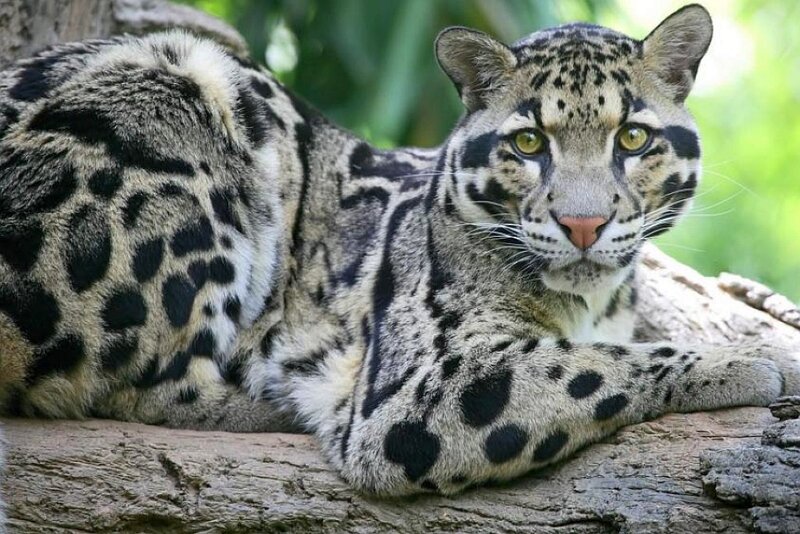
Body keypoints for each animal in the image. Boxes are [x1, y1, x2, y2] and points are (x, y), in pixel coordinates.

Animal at [0, 3, 798, 500]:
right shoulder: (417, 388)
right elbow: (593, 364)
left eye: (632, 137)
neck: (593, 296)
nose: (582, 224)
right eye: (528, 142)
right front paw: (753, 359)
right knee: (132, 385)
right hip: (180, 85)